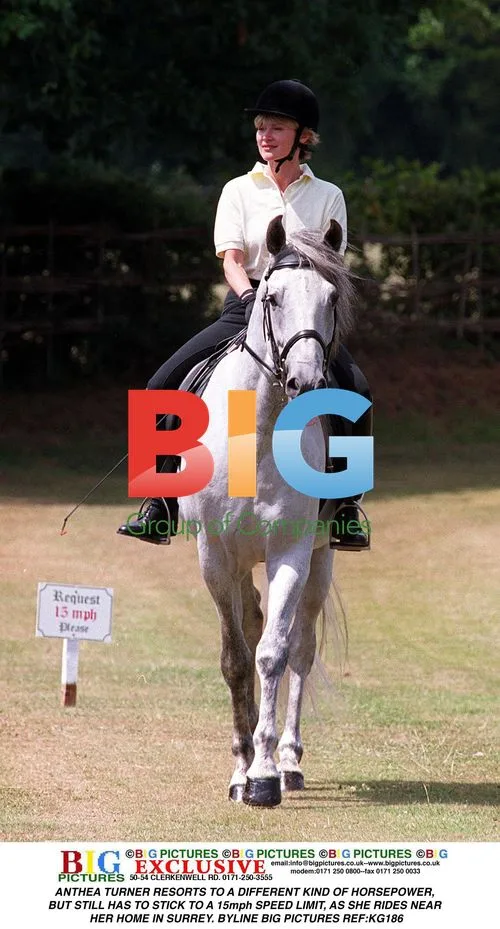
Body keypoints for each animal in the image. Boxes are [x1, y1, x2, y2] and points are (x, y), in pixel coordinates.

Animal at [179, 216, 355, 807]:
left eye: (331, 297)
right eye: (271, 298)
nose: (306, 382)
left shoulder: (290, 551)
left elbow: (273, 654)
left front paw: (263, 775)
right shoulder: (216, 556)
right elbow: (236, 658)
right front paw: (240, 768)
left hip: (321, 559)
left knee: (301, 647)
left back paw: (289, 761)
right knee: (252, 624)